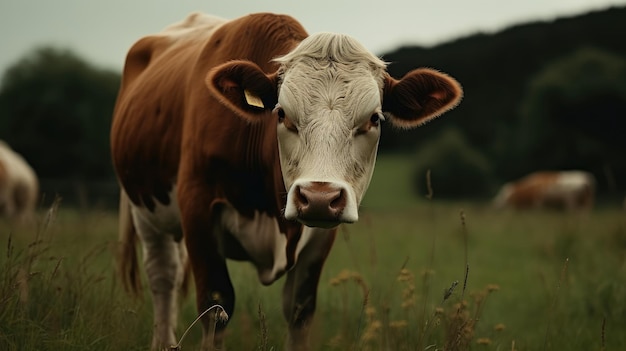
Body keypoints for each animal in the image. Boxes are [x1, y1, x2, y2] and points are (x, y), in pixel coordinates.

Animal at [111, 11, 464, 351]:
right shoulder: (197, 206)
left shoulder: (321, 236)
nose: (319, 197)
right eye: (281, 114)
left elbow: (300, 309)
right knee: (163, 276)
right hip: (145, 211)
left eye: (374, 119)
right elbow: (215, 305)